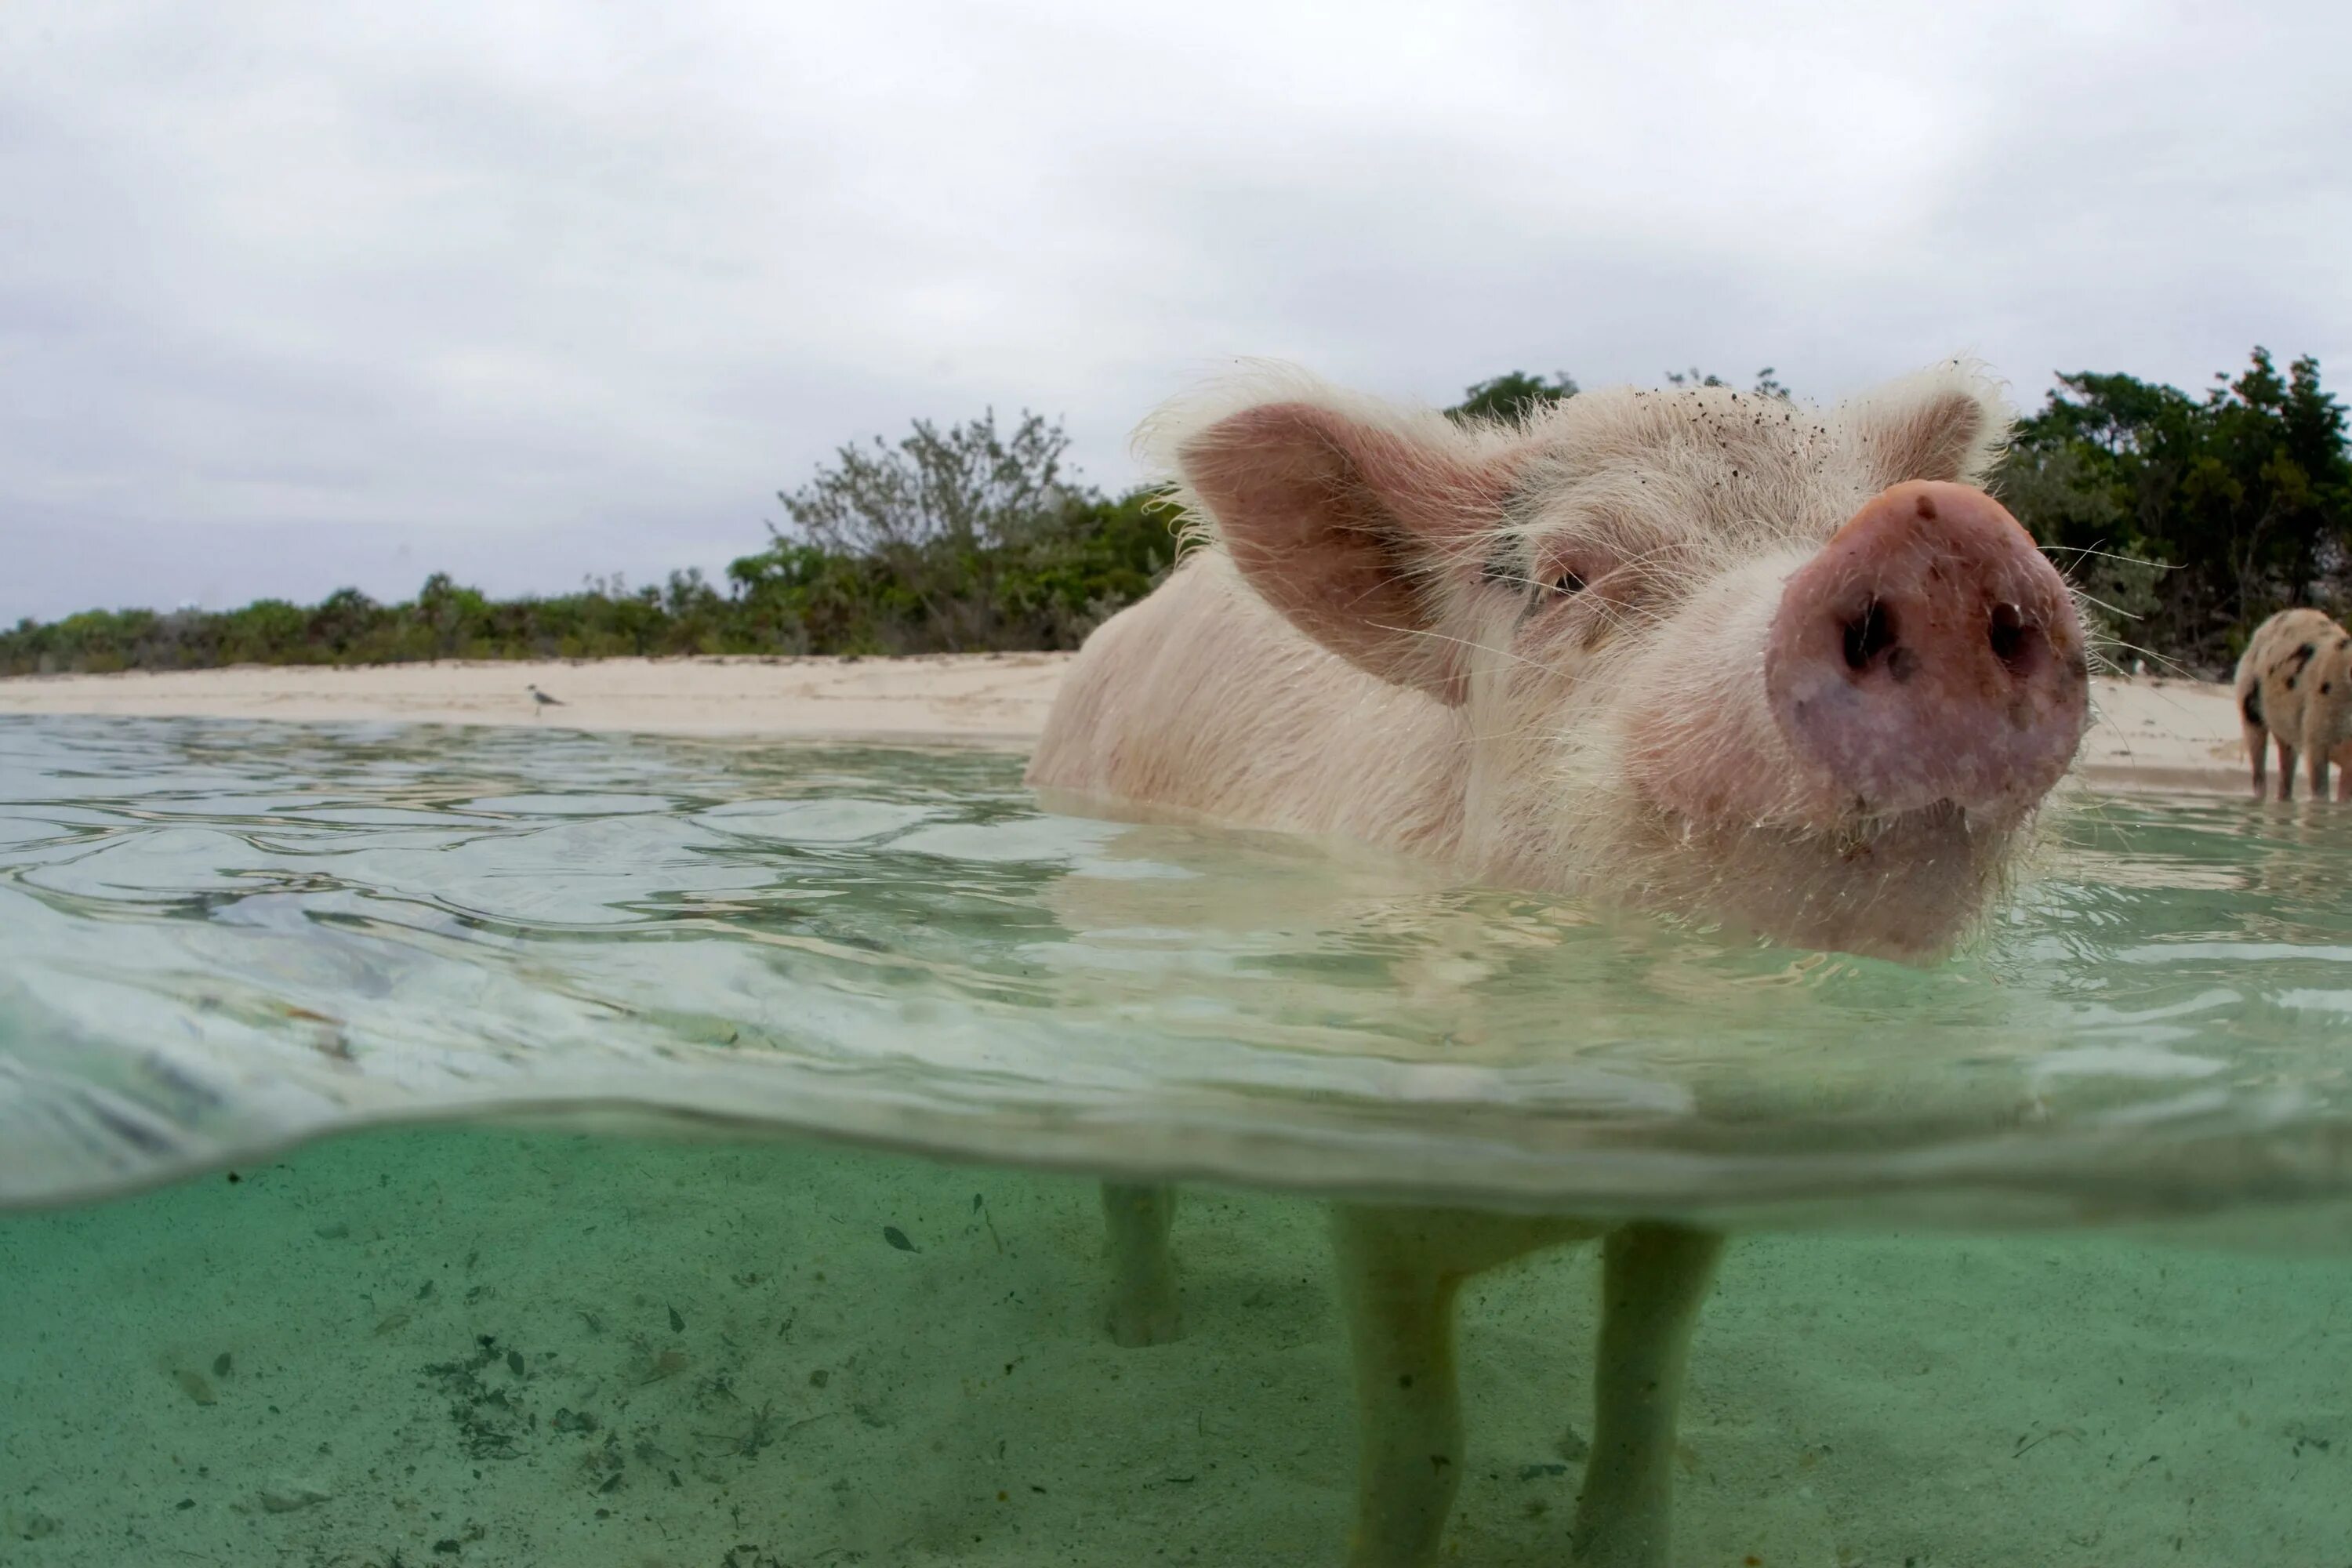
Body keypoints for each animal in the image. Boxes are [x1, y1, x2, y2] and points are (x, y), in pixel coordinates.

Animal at [1021, 359, 2089, 1568]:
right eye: (1569, 576)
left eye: (1842, 513)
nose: (1939, 527)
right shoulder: (1372, 1190)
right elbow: (1423, 1439)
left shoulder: (1693, 1205)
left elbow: (1642, 1384)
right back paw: (1145, 1333)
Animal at [2230, 606, 2343, 804]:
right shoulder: (2317, 742)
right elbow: (2321, 793)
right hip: (2250, 707)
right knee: (2259, 773)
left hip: (2286, 733)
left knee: (2285, 772)